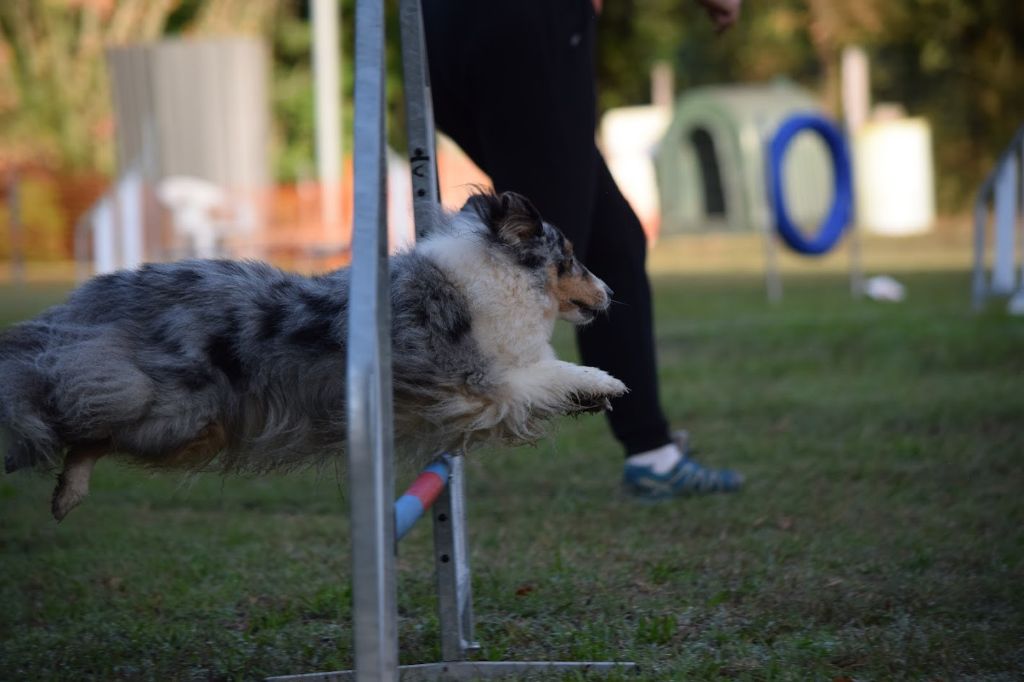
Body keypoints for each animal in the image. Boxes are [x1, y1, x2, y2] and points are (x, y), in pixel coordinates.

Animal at [0, 188, 622, 518]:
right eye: (569, 257)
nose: (611, 293)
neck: (499, 275)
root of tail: (100, 296)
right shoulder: (479, 384)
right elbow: (547, 373)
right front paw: (604, 382)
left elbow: (550, 373)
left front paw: (592, 395)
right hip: (177, 416)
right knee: (86, 428)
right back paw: (67, 490)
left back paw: (65, 495)